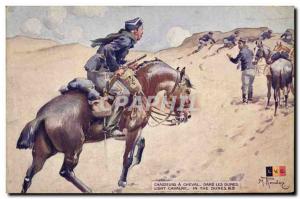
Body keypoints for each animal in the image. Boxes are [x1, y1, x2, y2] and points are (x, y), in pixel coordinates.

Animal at [16, 59, 193, 193]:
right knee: (65, 171)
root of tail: (43, 115)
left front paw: (136, 162)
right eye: (188, 91)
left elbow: (141, 143)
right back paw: (89, 190)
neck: (143, 86)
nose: (187, 116)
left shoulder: (125, 133)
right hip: (73, 150)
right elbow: (127, 158)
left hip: (42, 153)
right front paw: (122, 181)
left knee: (28, 176)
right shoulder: (133, 131)